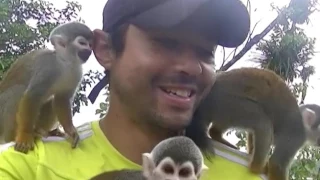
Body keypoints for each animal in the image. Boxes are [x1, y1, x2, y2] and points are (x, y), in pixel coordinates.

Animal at [0, 21, 94, 153]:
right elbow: (32, 96)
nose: (89, 50)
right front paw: (24, 136)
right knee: (18, 91)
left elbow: (62, 99)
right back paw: (14, 136)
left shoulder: (77, 72)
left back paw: (45, 131)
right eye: (82, 43)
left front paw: (70, 130)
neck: (64, 63)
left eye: (90, 44)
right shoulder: (48, 67)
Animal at [184, 67, 320, 180]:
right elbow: (277, 164)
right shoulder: (296, 135)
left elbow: (253, 134)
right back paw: (257, 168)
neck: (304, 125)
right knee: (262, 122)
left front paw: (251, 151)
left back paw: (216, 134)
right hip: (226, 102)